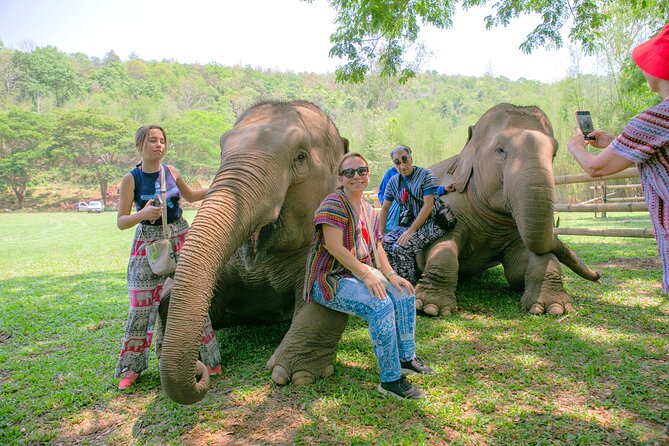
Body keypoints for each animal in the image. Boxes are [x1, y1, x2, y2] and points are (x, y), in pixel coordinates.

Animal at [415, 103, 601, 317]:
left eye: (554, 154)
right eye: (499, 150)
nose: (598, 275)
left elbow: (520, 268)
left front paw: (554, 307)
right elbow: (438, 249)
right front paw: (431, 308)